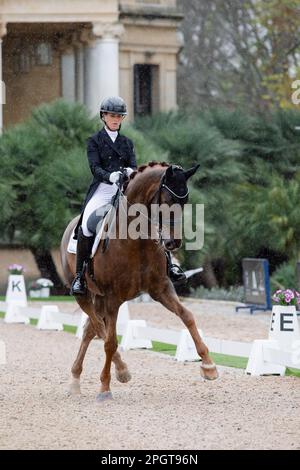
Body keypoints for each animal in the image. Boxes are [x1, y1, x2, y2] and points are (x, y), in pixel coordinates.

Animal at [59, 162, 218, 400]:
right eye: (167, 200)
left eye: (185, 201)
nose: (173, 242)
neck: (137, 240)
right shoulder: (113, 297)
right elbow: (110, 342)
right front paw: (105, 388)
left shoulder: (161, 288)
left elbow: (187, 316)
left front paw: (209, 366)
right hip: (85, 295)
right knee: (98, 328)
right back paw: (119, 371)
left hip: (100, 297)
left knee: (90, 329)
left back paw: (77, 379)